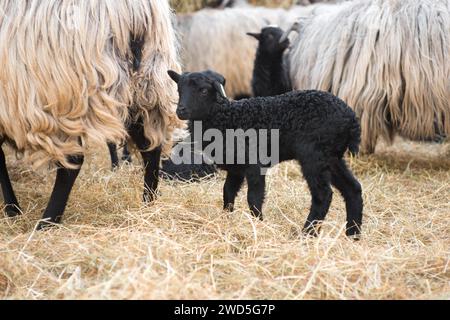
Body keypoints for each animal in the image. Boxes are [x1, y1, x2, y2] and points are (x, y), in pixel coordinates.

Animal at [0, 0, 183, 230]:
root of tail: (133, 12)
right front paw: (13, 209)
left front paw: (12, 209)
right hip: (145, 84)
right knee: (150, 148)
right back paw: (148, 205)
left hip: (66, 91)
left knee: (73, 161)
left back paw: (46, 222)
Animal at [167, 70, 364, 240]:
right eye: (179, 90)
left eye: (203, 90)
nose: (181, 110)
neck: (226, 118)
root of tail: (352, 119)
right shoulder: (236, 168)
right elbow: (227, 192)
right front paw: (226, 218)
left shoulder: (254, 164)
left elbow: (253, 197)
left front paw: (258, 224)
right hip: (332, 157)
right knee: (352, 189)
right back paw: (352, 235)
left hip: (314, 156)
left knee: (323, 195)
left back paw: (307, 234)